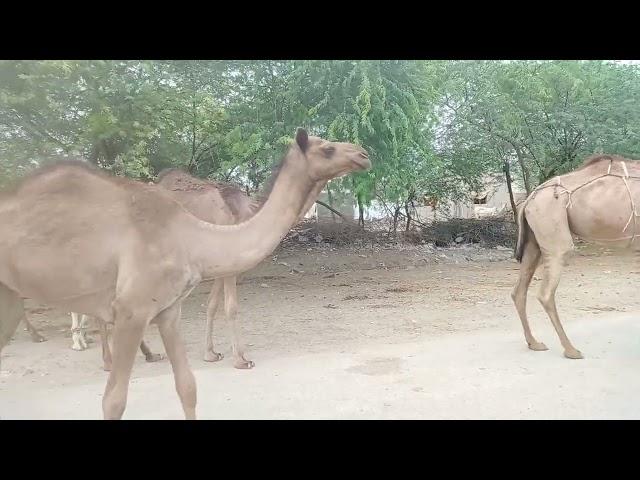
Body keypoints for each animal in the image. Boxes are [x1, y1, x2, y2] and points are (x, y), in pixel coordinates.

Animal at [1, 129, 370, 418]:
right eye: (327, 148)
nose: (364, 154)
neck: (191, 235)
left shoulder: (169, 309)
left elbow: (188, 387)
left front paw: (213, 354)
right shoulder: (134, 309)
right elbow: (113, 401)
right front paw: (240, 359)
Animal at [510, 155, 640, 360]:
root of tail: (529, 198)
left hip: (533, 241)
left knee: (519, 290)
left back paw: (534, 343)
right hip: (554, 231)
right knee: (546, 292)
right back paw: (571, 350)